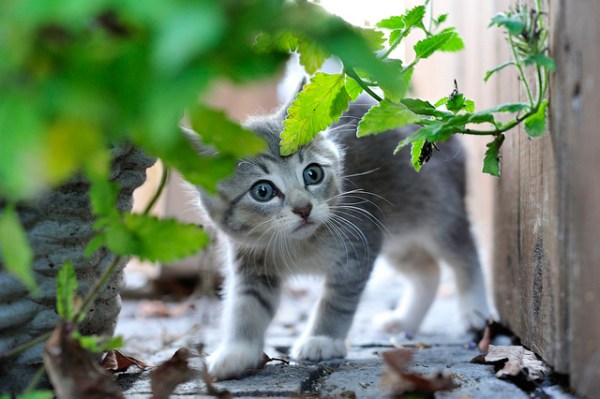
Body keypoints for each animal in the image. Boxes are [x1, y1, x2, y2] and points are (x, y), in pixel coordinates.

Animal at [195, 95, 490, 380]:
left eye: (313, 173)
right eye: (263, 191)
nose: (304, 208)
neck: (299, 244)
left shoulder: (358, 246)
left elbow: (337, 299)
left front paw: (322, 339)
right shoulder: (251, 264)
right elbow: (246, 306)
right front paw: (237, 352)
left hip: (440, 214)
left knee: (465, 256)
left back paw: (475, 311)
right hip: (397, 238)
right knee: (428, 271)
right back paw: (404, 320)